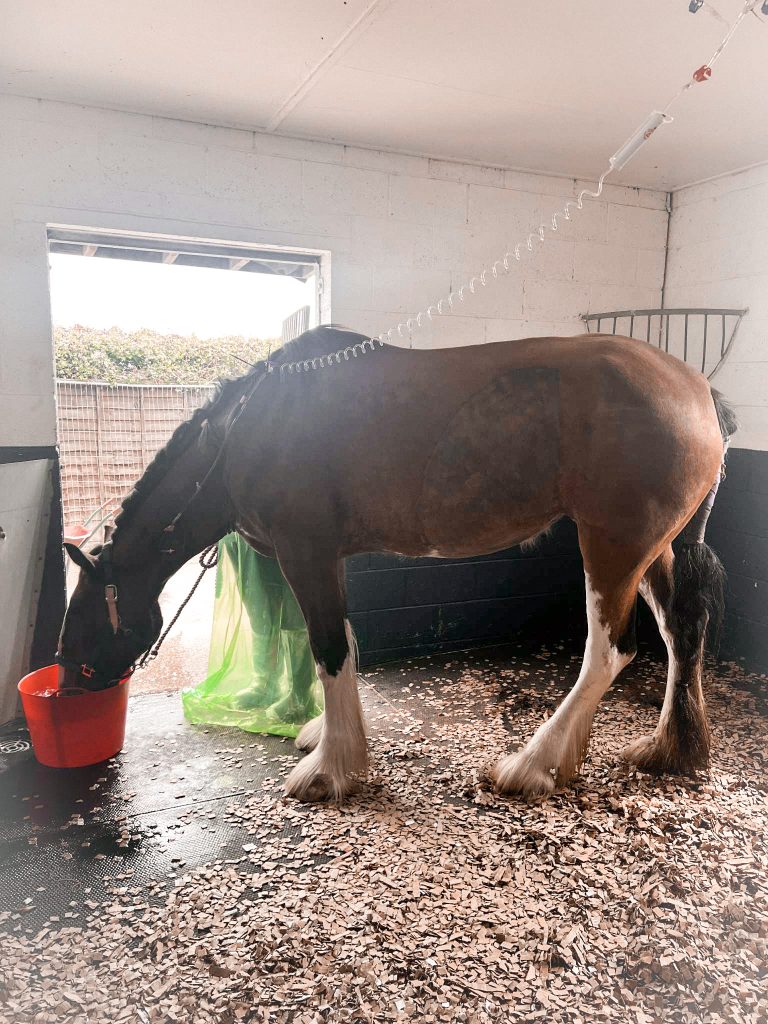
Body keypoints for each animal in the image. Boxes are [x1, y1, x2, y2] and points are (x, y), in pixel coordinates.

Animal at [59, 326, 736, 802]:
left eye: (84, 616)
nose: (71, 688)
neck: (252, 427)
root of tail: (700, 392)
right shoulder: (327, 558)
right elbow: (345, 645)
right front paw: (327, 739)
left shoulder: (306, 553)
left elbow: (329, 649)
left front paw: (330, 771)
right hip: (655, 551)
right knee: (680, 634)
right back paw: (662, 750)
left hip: (613, 548)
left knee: (609, 652)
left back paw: (529, 765)